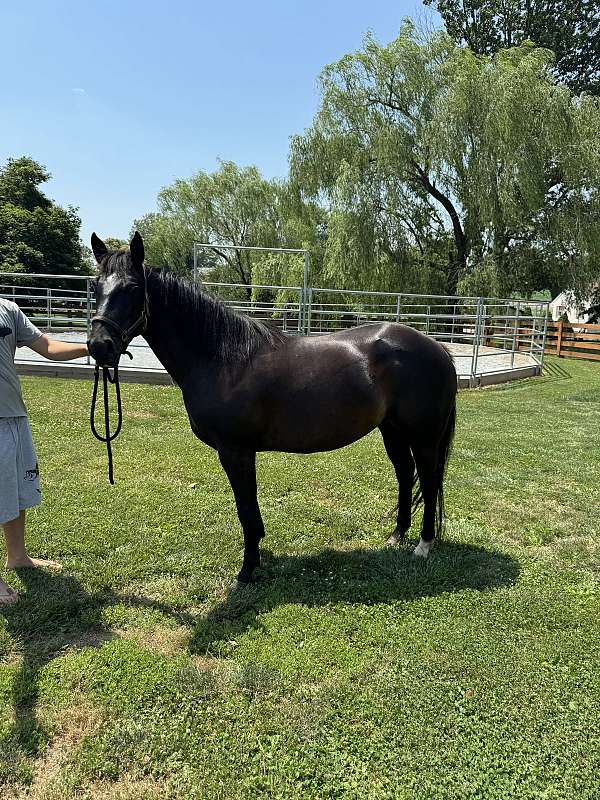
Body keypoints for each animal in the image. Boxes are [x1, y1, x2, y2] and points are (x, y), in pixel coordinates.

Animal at [87, 232, 457, 586]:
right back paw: (397, 536)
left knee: (428, 479)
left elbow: (246, 510)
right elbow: (249, 509)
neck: (223, 359)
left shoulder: (236, 451)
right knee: (405, 474)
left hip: (424, 438)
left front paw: (247, 569)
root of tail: (437, 347)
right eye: (95, 286)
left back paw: (423, 545)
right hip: (392, 431)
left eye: (133, 289)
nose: (99, 346)